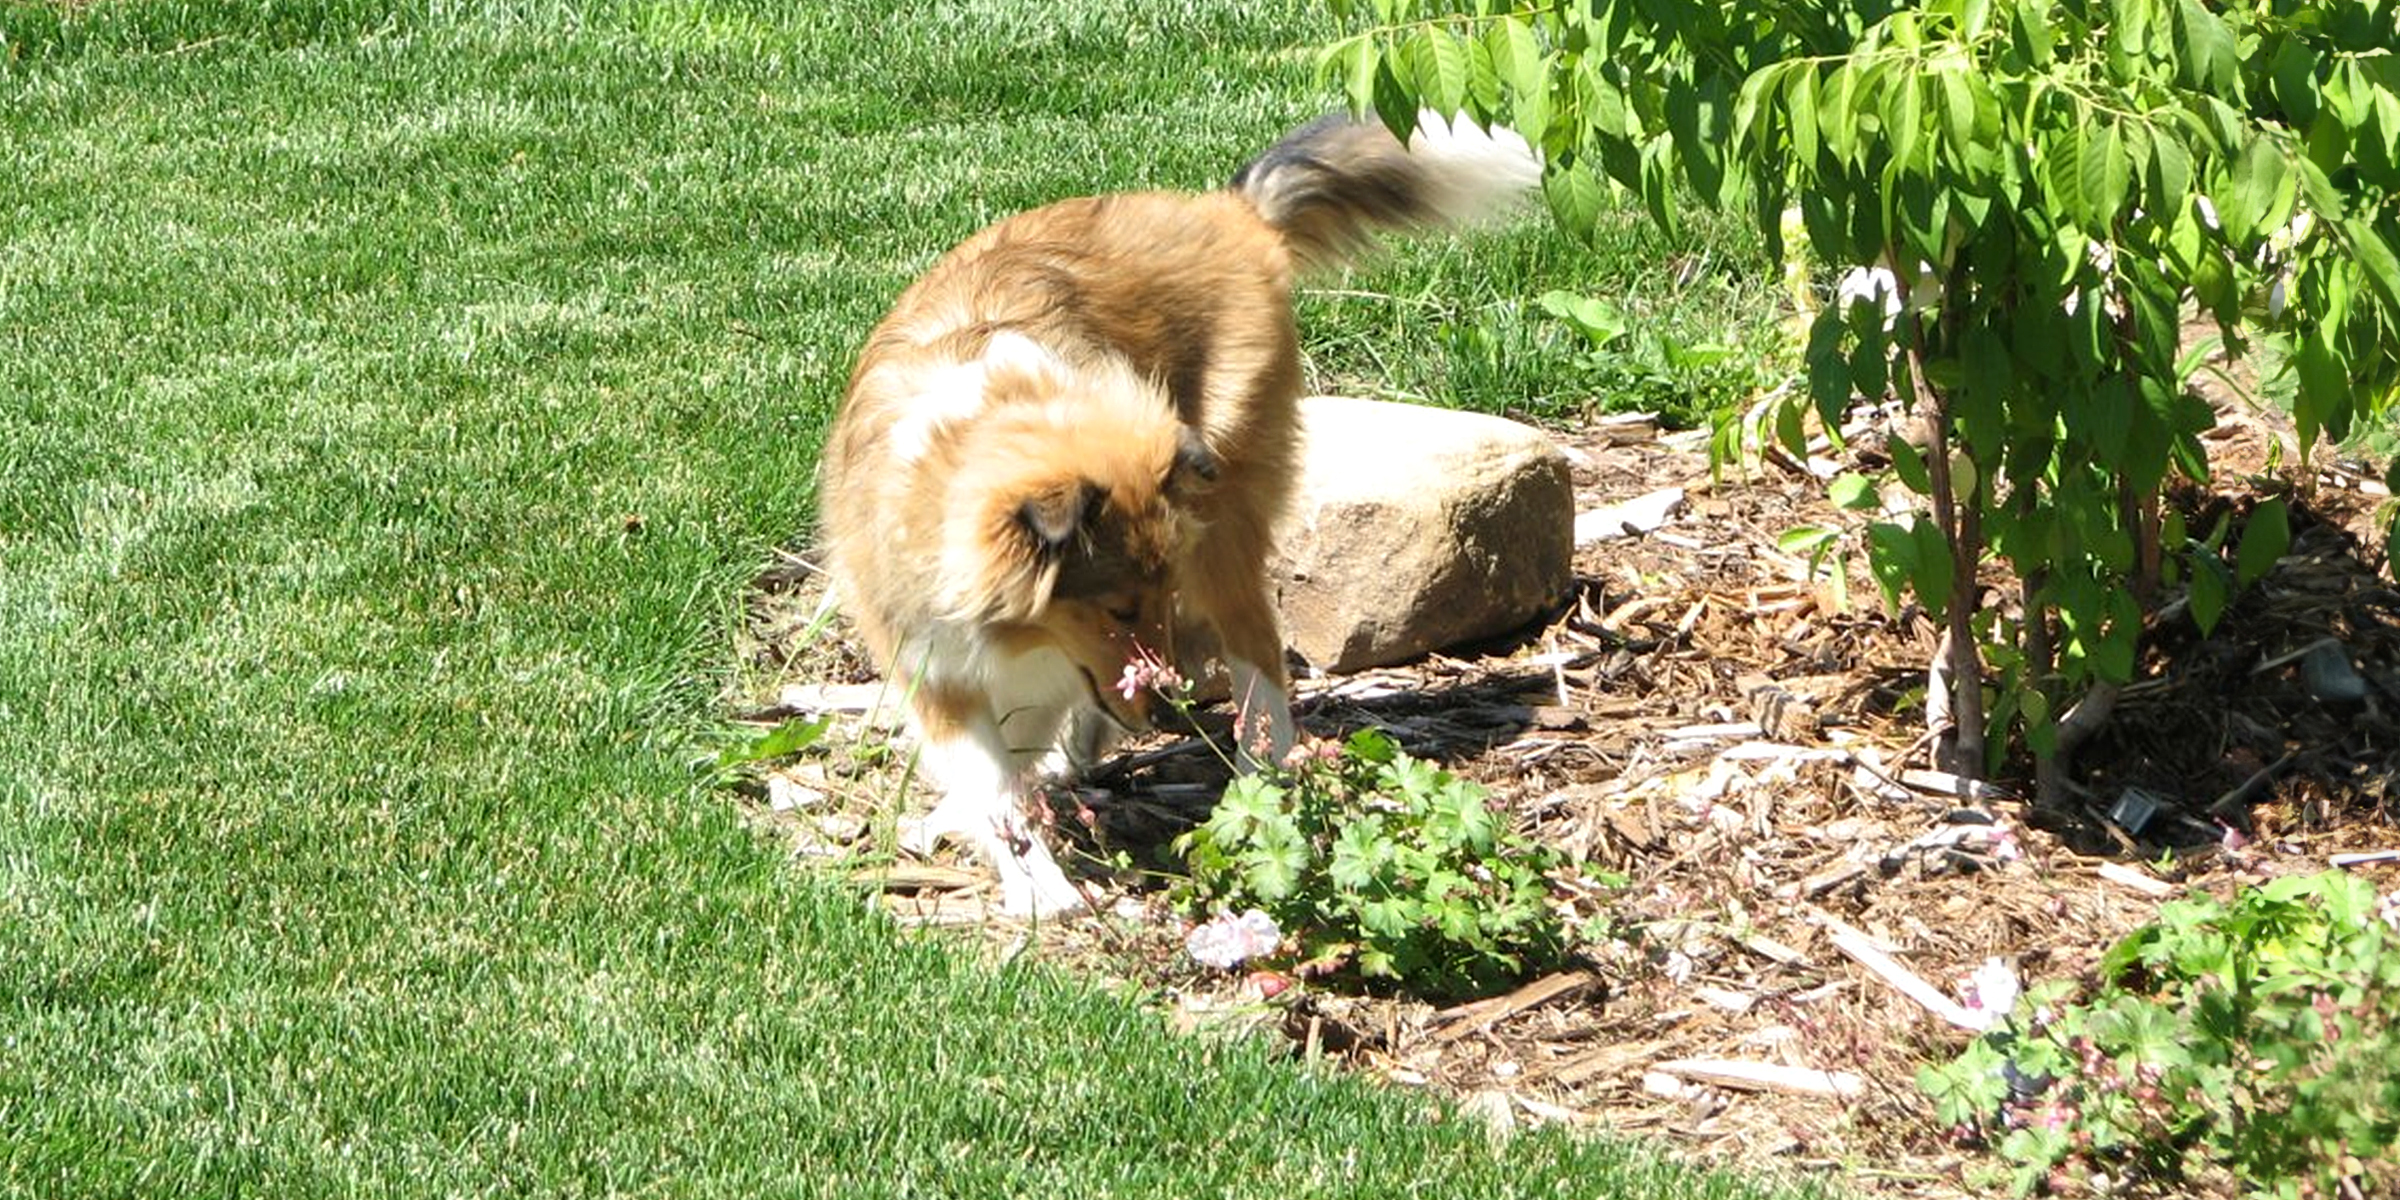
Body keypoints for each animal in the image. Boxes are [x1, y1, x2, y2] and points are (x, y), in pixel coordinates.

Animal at [820, 114, 1536, 916]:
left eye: (1149, 599)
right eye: (1118, 607)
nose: (1167, 715)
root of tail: (1226, 210)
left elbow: (1010, 769)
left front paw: (1042, 890)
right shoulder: (938, 662)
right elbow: (998, 775)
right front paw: (1025, 862)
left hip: (1223, 520)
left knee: (1259, 655)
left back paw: (1263, 787)